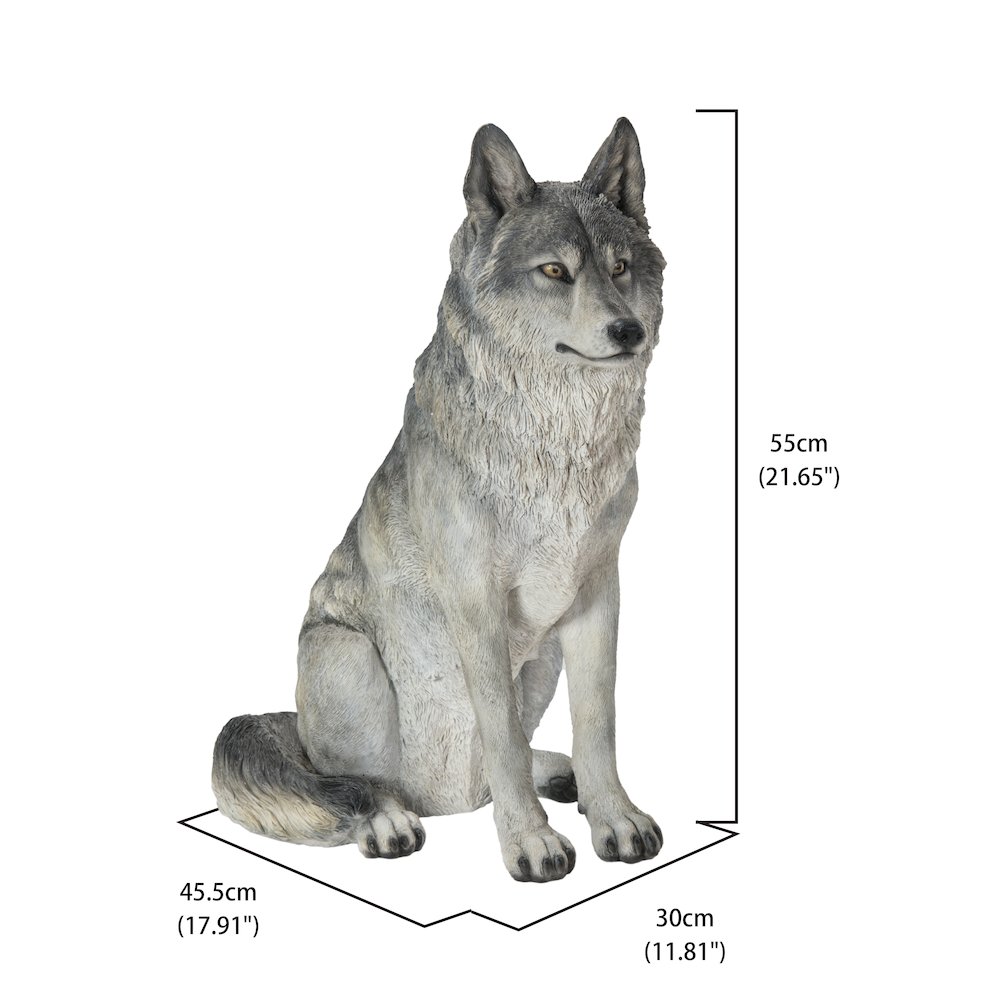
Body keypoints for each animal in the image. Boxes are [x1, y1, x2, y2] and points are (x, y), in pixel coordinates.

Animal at [212, 119, 667, 882]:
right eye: (555, 272)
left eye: (622, 267)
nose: (628, 332)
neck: (555, 449)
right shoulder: (475, 603)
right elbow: (502, 737)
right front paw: (531, 845)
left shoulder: (597, 592)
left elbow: (597, 722)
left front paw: (615, 820)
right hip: (344, 654)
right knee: (359, 785)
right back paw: (392, 820)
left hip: (539, 660)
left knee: (482, 778)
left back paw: (553, 776)